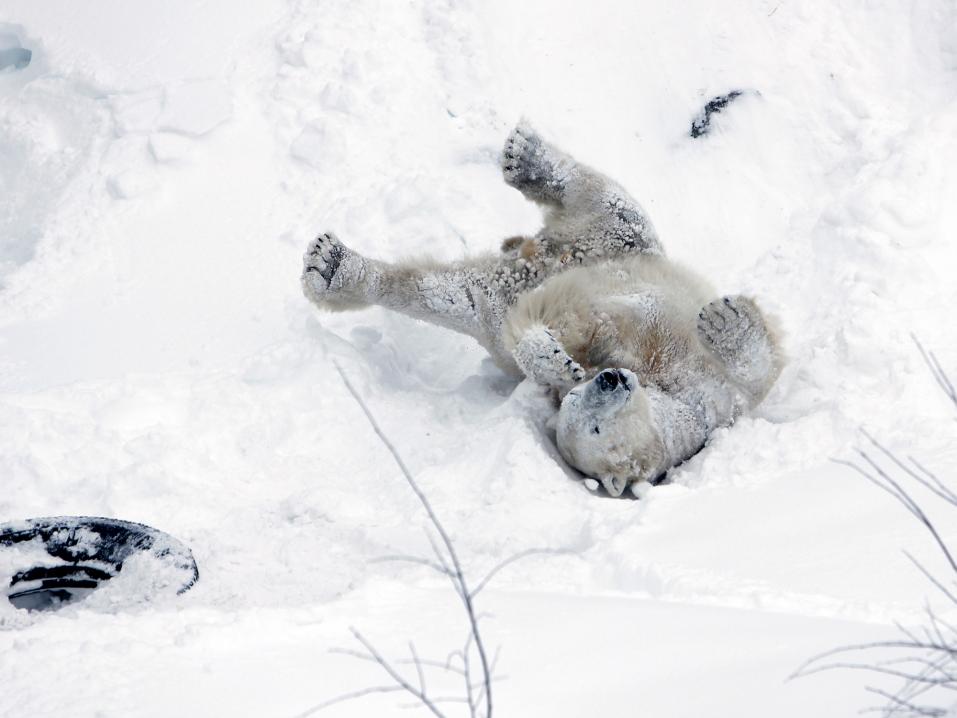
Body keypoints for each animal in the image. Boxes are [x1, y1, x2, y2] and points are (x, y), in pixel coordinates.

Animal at [302, 122, 780, 496]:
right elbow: (570, 329)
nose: (609, 379)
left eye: (597, 428)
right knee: (606, 206)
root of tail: (540, 254)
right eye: (580, 405)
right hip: (605, 249)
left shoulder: (709, 406)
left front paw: (724, 320)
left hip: (587, 255)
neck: (657, 382)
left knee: (449, 291)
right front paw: (556, 357)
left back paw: (332, 267)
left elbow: (754, 376)